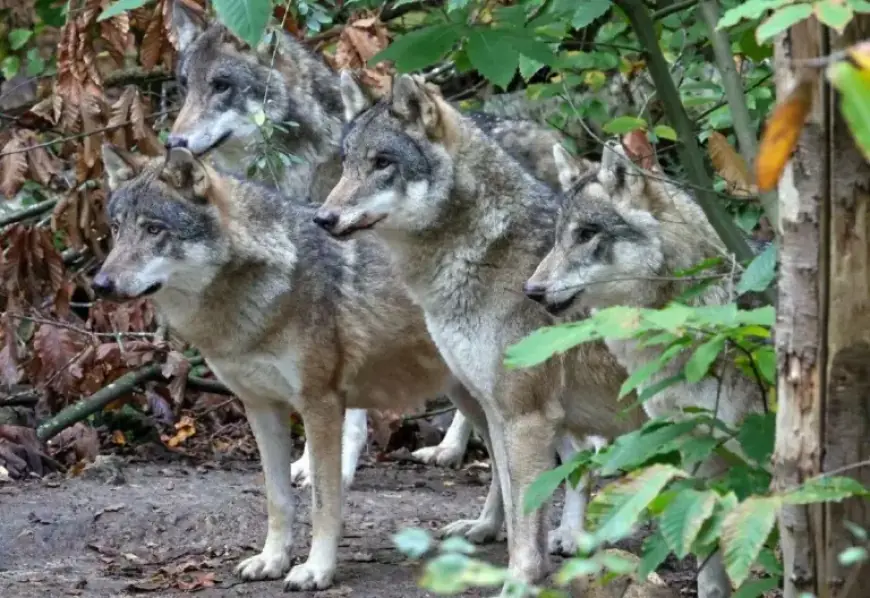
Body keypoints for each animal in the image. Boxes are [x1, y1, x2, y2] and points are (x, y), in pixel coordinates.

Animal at [315, 71, 646, 592]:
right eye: (347, 163)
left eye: (382, 163)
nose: (323, 218)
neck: (484, 252)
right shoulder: (506, 408)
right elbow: (516, 503)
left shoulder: (525, 413)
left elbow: (526, 512)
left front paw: (521, 580)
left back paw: (571, 538)